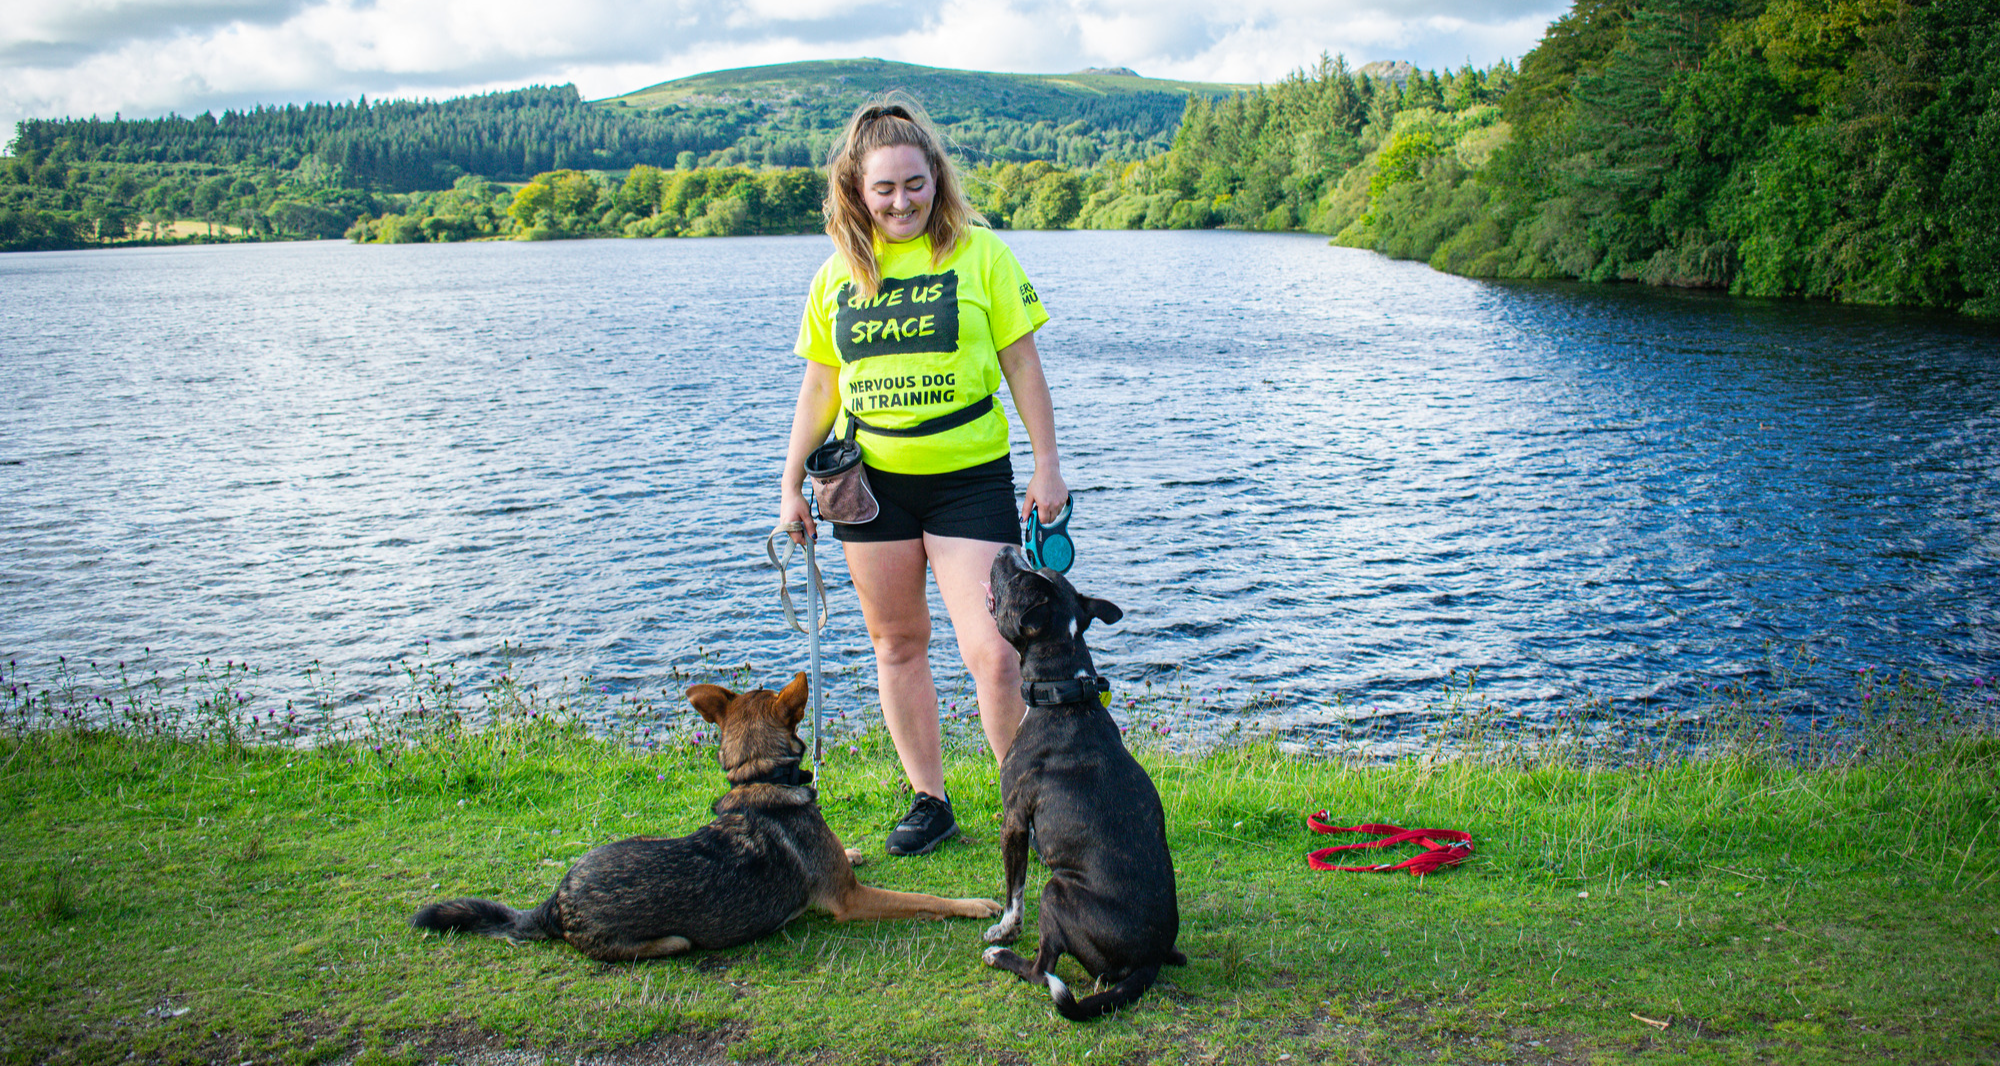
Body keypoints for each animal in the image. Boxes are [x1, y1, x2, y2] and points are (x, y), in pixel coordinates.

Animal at [408, 672, 1000, 964]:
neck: (759, 777)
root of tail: (554, 903)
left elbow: (848, 853)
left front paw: (853, 848)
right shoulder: (850, 900)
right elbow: (927, 899)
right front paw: (975, 905)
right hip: (664, 938)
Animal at [976, 548, 1176, 1016]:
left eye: (1019, 578)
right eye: (1033, 565)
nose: (1009, 548)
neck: (1063, 690)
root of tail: (1150, 961)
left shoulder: (1014, 819)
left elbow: (1014, 890)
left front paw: (1004, 930)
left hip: (1057, 891)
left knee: (1041, 969)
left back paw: (1002, 956)